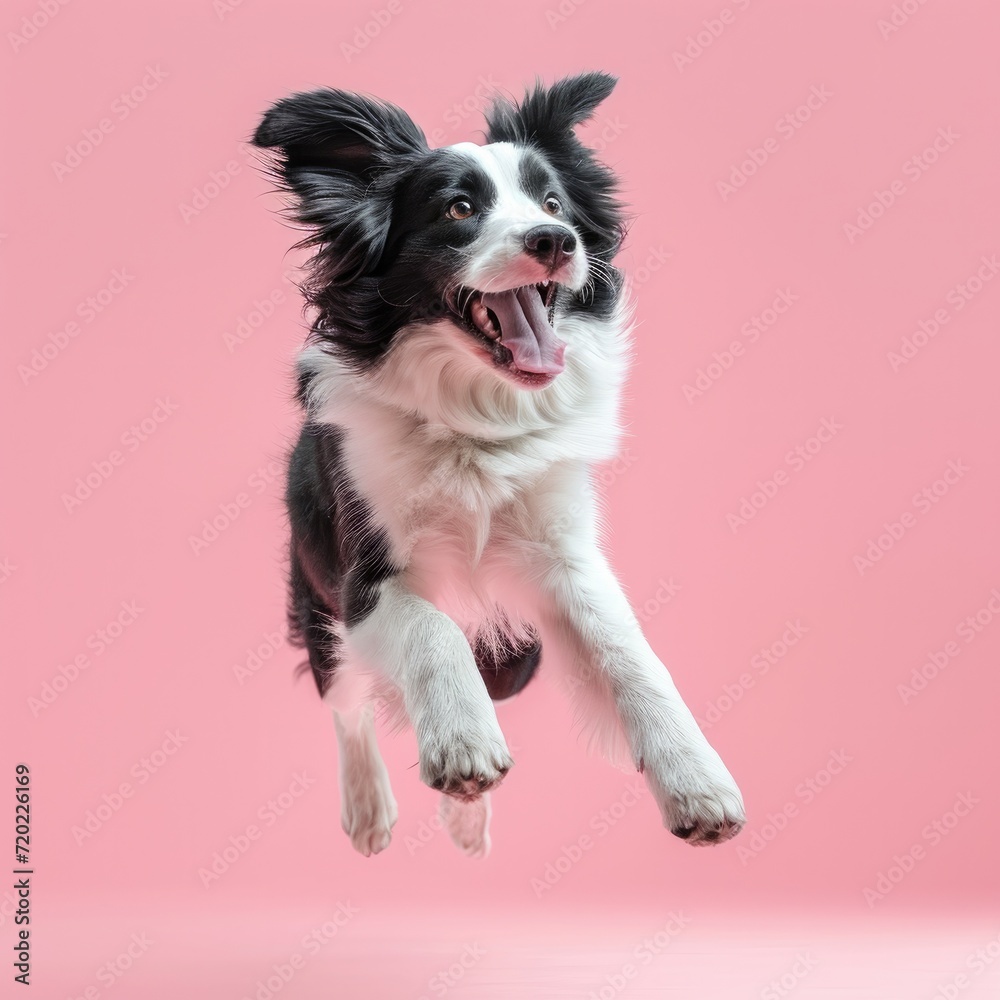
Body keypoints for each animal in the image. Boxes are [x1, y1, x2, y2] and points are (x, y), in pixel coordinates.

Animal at [254, 74, 748, 860]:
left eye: (553, 205)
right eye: (458, 209)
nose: (555, 241)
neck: (478, 426)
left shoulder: (564, 553)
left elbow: (630, 653)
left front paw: (696, 777)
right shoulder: (362, 576)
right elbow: (432, 629)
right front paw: (462, 741)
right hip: (315, 587)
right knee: (349, 704)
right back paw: (370, 808)